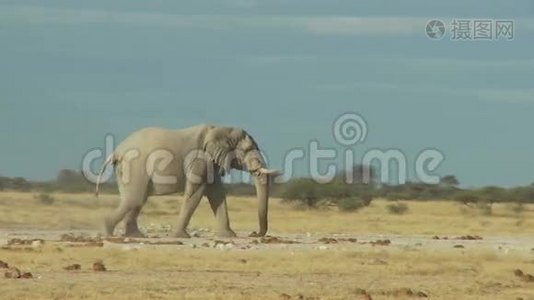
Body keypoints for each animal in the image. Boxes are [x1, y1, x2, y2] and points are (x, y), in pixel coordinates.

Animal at [96, 123, 280, 237]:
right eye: (248, 149)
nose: (254, 233)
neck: (221, 129)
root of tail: (117, 151)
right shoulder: (200, 159)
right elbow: (195, 193)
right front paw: (181, 236)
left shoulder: (211, 162)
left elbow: (217, 194)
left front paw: (229, 236)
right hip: (135, 166)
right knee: (135, 198)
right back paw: (108, 230)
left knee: (136, 200)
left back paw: (135, 235)